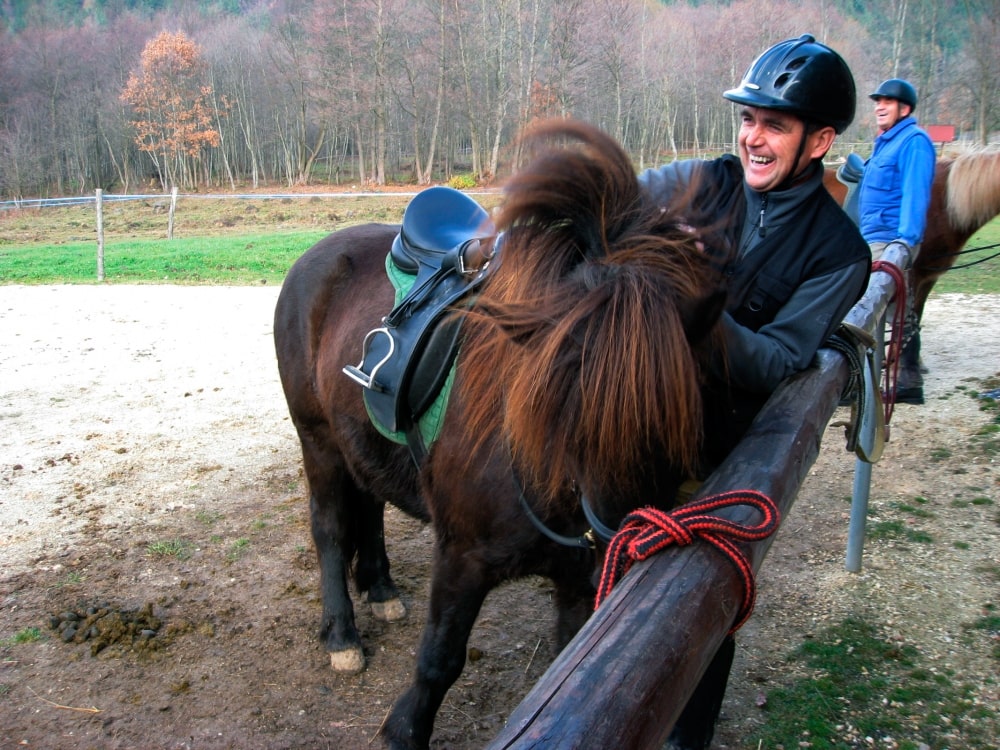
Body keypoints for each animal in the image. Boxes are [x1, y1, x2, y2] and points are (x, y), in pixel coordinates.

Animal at [274, 120, 728, 748]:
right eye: (556, 381)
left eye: (681, 398)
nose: (615, 536)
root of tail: (316, 255)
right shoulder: (462, 555)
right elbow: (440, 659)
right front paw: (404, 729)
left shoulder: (579, 580)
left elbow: (568, 662)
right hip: (317, 440)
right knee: (331, 528)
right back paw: (342, 633)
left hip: (357, 439)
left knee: (369, 505)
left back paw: (381, 589)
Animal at [824, 149, 1000, 402]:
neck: (944, 202)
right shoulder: (910, 272)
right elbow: (906, 322)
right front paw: (907, 380)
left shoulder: (926, 277)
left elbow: (914, 319)